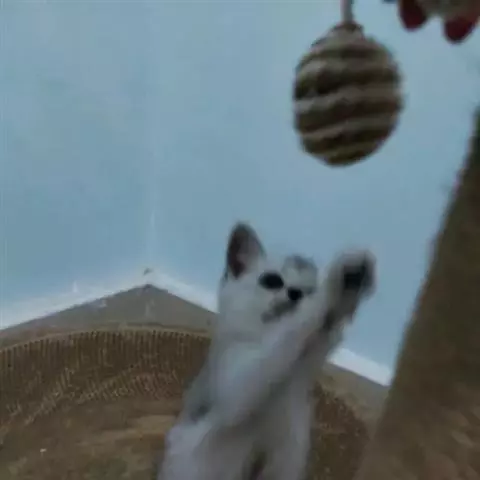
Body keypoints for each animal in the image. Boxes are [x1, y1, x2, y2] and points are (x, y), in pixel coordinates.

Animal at [158, 222, 376, 480]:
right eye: (272, 281)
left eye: (308, 290)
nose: (296, 294)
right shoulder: (235, 387)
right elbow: (286, 336)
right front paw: (333, 287)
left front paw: (351, 286)